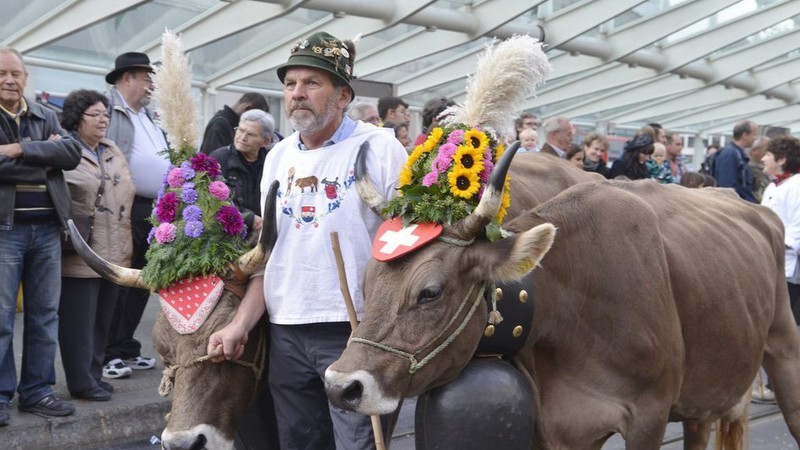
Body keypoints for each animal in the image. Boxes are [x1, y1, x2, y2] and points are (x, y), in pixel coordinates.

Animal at [324, 150, 800, 446]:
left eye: (430, 292)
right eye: (366, 281)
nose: (340, 385)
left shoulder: (649, 416)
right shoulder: (558, 427)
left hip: (783, 347)